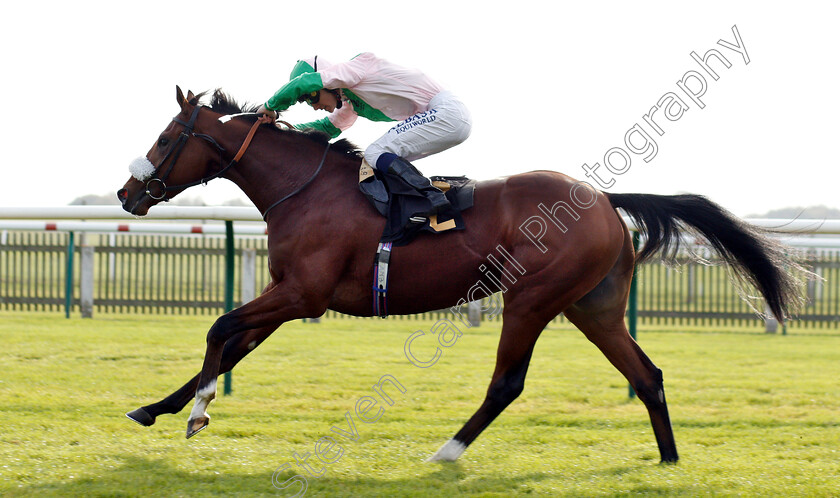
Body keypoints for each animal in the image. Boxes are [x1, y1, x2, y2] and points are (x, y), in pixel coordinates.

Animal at [116, 85, 800, 462]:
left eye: (167, 137)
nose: (126, 194)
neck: (304, 190)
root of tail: (605, 199)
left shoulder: (302, 294)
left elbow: (218, 330)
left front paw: (198, 412)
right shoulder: (287, 293)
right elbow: (232, 343)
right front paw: (158, 408)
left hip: (532, 297)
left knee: (507, 384)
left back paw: (445, 452)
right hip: (593, 306)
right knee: (647, 375)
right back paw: (669, 461)